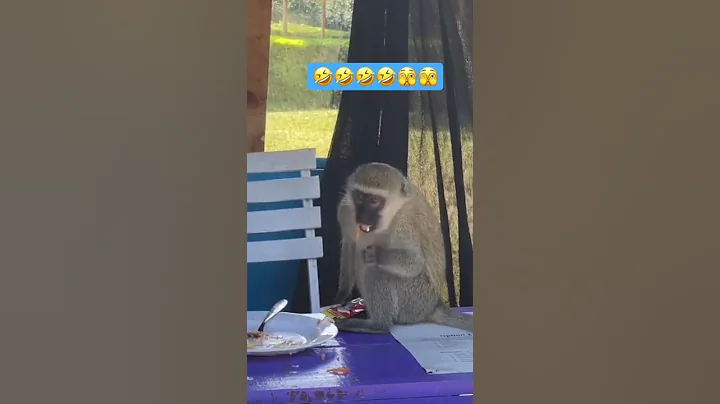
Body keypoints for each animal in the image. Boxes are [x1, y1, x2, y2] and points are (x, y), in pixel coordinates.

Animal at [333, 162, 473, 334]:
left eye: (374, 201)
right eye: (359, 197)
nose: (362, 216)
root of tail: (432, 306)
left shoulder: (403, 226)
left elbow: (415, 262)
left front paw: (377, 254)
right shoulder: (345, 211)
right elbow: (349, 245)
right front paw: (342, 293)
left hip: (414, 300)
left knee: (375, 270)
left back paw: (378, 325)